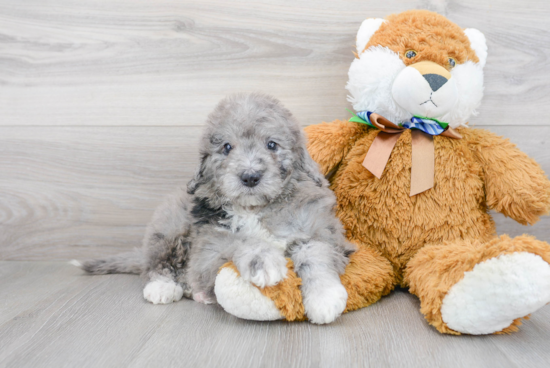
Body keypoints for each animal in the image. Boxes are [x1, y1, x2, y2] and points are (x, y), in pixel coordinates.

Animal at [80, 93, 358, 324]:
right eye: (226, 147)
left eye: (272, 145)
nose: (250, 177)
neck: (256, 209)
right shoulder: (207, 249)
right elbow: (239, 240)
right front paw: (263, 260)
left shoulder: (322, 230)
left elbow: (316, 253)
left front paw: (325, 297)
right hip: (170, 225)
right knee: (157, 262)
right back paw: (163, 287)